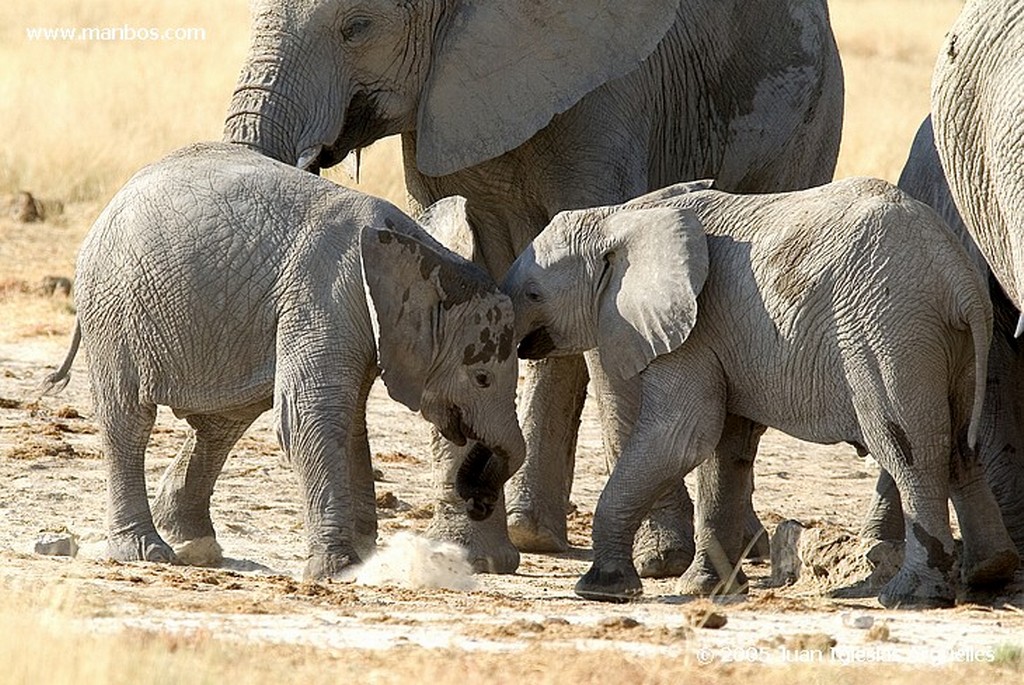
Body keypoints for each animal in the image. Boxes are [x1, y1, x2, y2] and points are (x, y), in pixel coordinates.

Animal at [40, 141, 524, 581]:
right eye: (482, 377)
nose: (477, 497)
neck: (424, 256)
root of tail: (109, 207)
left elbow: (349, 423)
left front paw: (361, 561)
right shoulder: (325, 296)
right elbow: (311, 416)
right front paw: (336, 571)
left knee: (226, 420)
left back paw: (195, 546)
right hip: (114, 308)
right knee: (130, 417)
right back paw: (147, 553)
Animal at [228, 0, 843, 573]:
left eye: (356, 27)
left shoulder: (608, 106)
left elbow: (613, 321)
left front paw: (660, 559)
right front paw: (469, 556)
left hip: (807, 128)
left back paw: (737, 549)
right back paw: (534, 535)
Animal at [505, 179, 1024, 606]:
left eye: (533, 295)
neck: (622, 216)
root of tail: (958, 278)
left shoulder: (694, 328)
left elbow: (684, 436)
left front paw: (602, 590)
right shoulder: (722, 336)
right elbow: (725, 449)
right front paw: (707, 591)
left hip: (889, 331)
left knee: (913, 454)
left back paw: (910, 598)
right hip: (952, 344)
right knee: (959, 449)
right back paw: (988, 574)